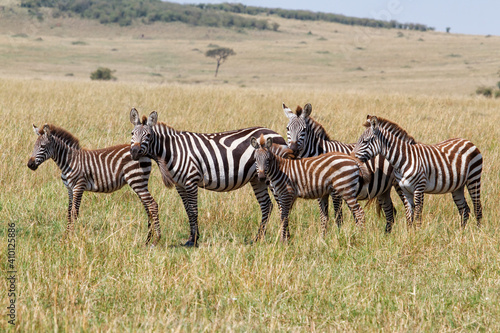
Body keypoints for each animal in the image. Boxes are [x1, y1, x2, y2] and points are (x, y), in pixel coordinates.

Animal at [27, 124, 161, 244]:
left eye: (43, 146)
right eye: (34, 146)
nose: (30, 164)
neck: (69, 161)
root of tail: (145, 151)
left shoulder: (79, 186)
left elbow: (74, 212)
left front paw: (71, 238)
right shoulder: (69, 189)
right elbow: (69, 212)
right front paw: (65, 236)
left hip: (136, 180)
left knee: (153, 204)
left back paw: (157, 239)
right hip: (140, 183)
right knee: (147, 206)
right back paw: (147, 239)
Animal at [128, 107, 290, 245]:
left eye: (148, 135)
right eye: (132, 134)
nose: (134, 152)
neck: (173, 151)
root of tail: (277, 134)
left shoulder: (191, 181)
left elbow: (193, 210)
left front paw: (193, 240)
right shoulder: (180, 185)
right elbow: (187, 210)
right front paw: (191, 238)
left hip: (271, 177)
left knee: (282, 203)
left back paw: (285, 237)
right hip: (257, 178)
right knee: (266, 205)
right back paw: (258, 238)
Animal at [284, 102, 404, 232]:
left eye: (304, 130)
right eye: (287, 129)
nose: (293, 151)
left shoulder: (336, 192)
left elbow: (338, 216)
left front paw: (339, 234)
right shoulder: (320, 191)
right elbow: (323, 217)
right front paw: (323, 236)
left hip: (398, 184)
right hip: (383, 189)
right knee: (390, 212)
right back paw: (387, 235)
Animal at [350, 115, 482, 227]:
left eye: (365, 141)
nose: (351, 158)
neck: (403, 160)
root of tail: (467, 141)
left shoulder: (419, 188)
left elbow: (418, 215)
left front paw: (418, 234)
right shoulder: (405, 190)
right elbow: (409, 216)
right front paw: (410, 235)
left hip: (474, 178)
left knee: (477, 207)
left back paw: (477, 232)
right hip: (457, 186)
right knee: (464, 210)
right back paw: (461, 233)